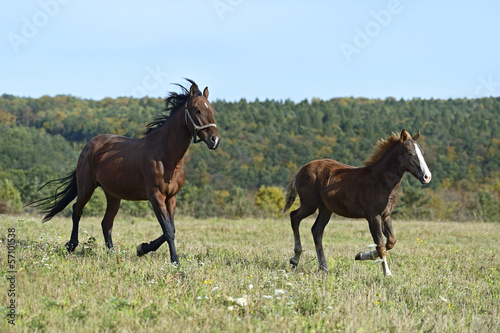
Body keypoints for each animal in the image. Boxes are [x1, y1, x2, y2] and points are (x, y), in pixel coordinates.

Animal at [31, 79, 219, 264]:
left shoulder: (171, 198)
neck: (167, 158)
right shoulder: (156, 197)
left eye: (212, 111)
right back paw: (71, 245)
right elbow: (168, 230)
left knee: (106, 223)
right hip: (86, 187)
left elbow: (171, 229)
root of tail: (89, 145)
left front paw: (143, 248)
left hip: (113, 195)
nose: (214, 139)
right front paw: (174, 261)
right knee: (77, 210)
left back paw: (112, 254)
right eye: (197, 110)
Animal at [284, 130, 432, 274]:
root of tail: (301, 170)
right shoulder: (373, 217)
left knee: (317, 231)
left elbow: (391, 241)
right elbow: (381, 245)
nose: (427, 177)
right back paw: (295, 259)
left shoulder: (386, 215)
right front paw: (387, 273)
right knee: (294, 217)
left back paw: (324, 267)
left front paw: (361, 255)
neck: (381, 181)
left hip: (325, 208)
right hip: (310, 204)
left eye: (422, 153)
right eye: (410, 153)